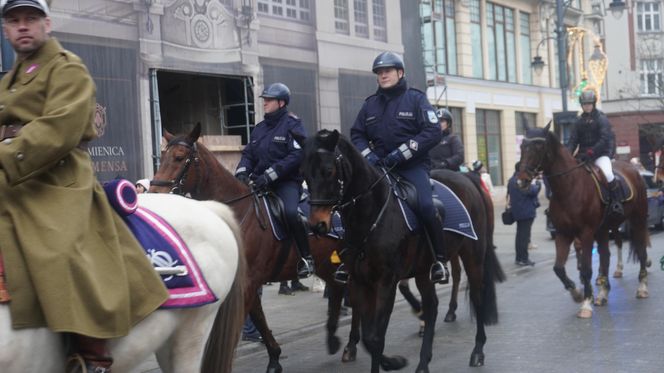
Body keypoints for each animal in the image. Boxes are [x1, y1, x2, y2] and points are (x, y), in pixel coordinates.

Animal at [149, 123, 348, 372]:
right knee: (339, 290)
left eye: (178, 157)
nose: (153, 194)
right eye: (161, 157)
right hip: (327, 265)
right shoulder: (246, 283)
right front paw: (274, 359)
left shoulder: (248, 283)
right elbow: (259, 319)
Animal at [300, 129, 504, 370]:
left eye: (329, 171)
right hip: (425, 270)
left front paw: (389, 361)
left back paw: (477, 351)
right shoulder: (360, 281)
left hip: (473, 255)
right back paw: (423, 362)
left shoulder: (386, 281)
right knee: (432, 306)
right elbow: (368, 336)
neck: (371, 215)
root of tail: (467, 180)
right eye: (304, 174)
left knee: (477, 296)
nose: (317, 225)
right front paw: (391, 361)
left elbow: (375, 337)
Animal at [516, 123, 652, 316]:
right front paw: (577, 293)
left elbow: (587, 268)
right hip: (604, 229)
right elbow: (558, 268)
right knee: (606, 256)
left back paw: (641, 287)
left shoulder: (586, 233)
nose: (522, 180)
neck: (569, 187)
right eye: (522, 146)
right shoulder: (563, 233)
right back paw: (603, 293)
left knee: (641, 251)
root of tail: (635, 170)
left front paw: (586, 303)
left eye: (539, 146)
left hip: (638, 220)